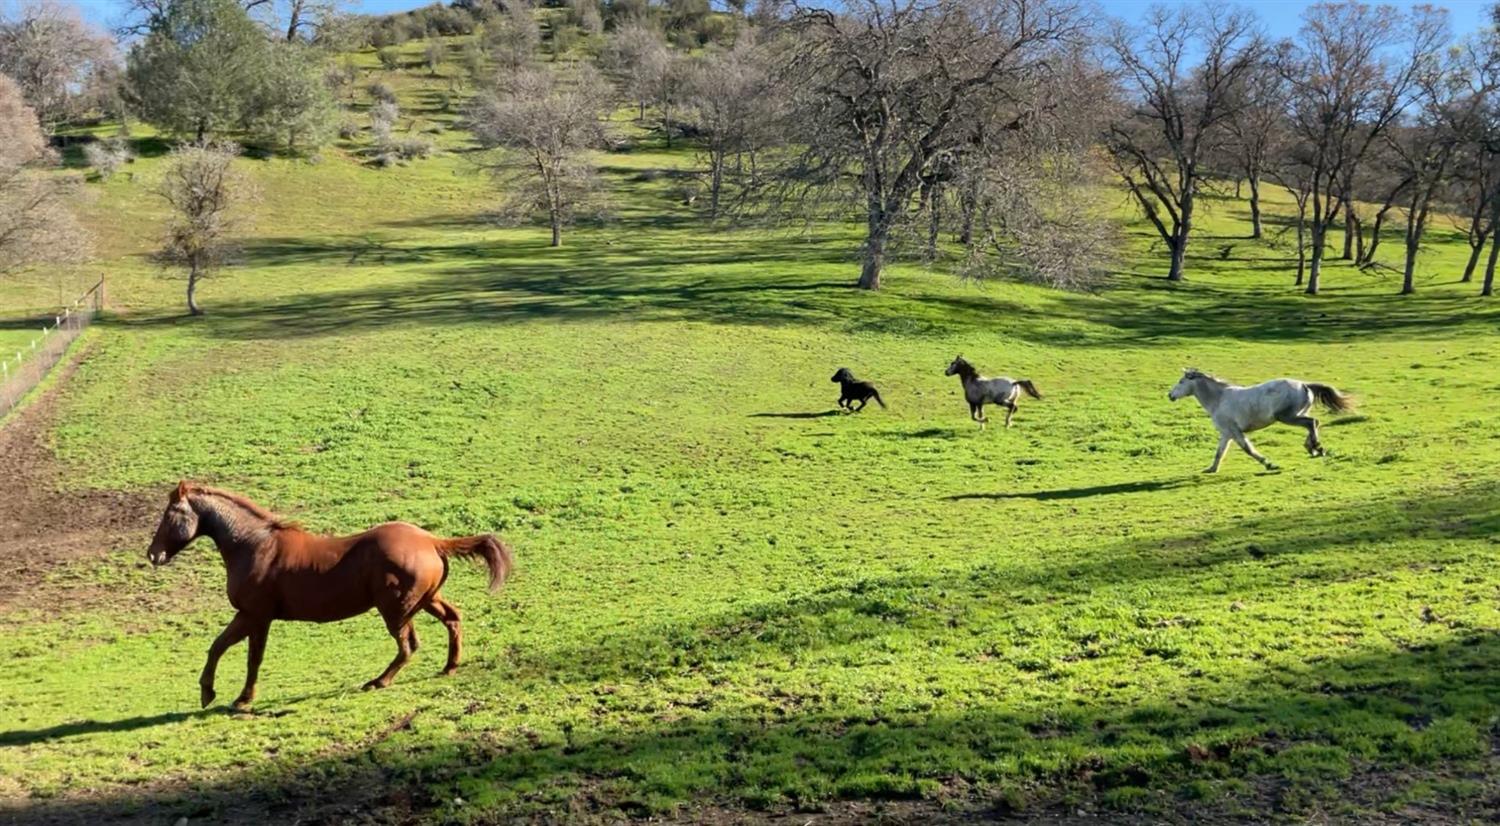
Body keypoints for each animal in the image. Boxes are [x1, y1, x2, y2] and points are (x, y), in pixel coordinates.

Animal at [145, 485, 513, 710]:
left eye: (170, 514)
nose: (153, 555)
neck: (253, 545)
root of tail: (432, 541)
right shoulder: (247, 616)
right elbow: (218, 646)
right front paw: (208, 693)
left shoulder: (257, 616)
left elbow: (252, 658)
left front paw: (241, 699)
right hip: (424, 601)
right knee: (452, 619)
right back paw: (449, 667)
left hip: (396, 609)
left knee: (409, 645)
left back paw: (378, 682)